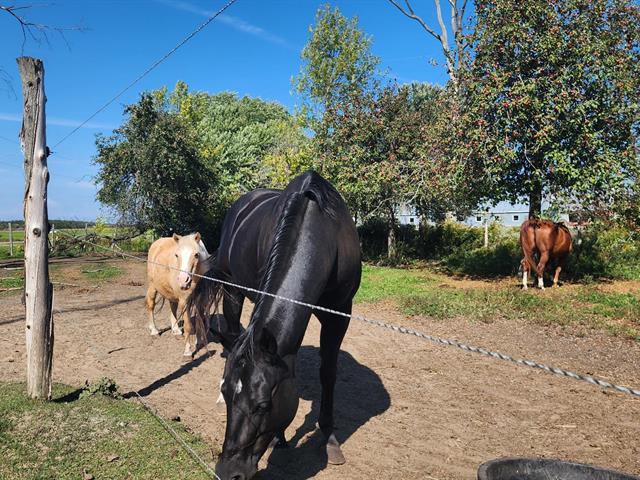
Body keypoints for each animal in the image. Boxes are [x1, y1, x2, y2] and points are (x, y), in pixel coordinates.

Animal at [190, 171, 362, 480]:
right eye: (226, 393)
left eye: (263, 405)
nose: (228, 472)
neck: (324, 236)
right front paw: (280, 438)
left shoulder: (340, 313)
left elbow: (328, 373)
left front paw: (330, 439)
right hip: (233, 290)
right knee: (233, 327)